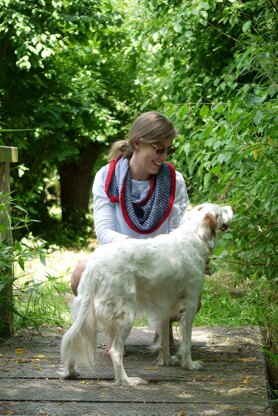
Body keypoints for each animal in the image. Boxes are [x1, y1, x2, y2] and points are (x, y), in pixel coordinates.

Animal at [60, 203, 232, 386]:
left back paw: (70, 372)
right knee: (115, 351)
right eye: (221, 211)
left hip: (83, 312)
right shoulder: (190, 305)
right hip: (126, 315)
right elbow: (186, 342)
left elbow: (164, 341)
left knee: (73, 339)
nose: (230, 207)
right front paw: (189, 364)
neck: (194, 236)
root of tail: (95, 265)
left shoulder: (164, 309)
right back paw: (127, 380)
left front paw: (167, 361)